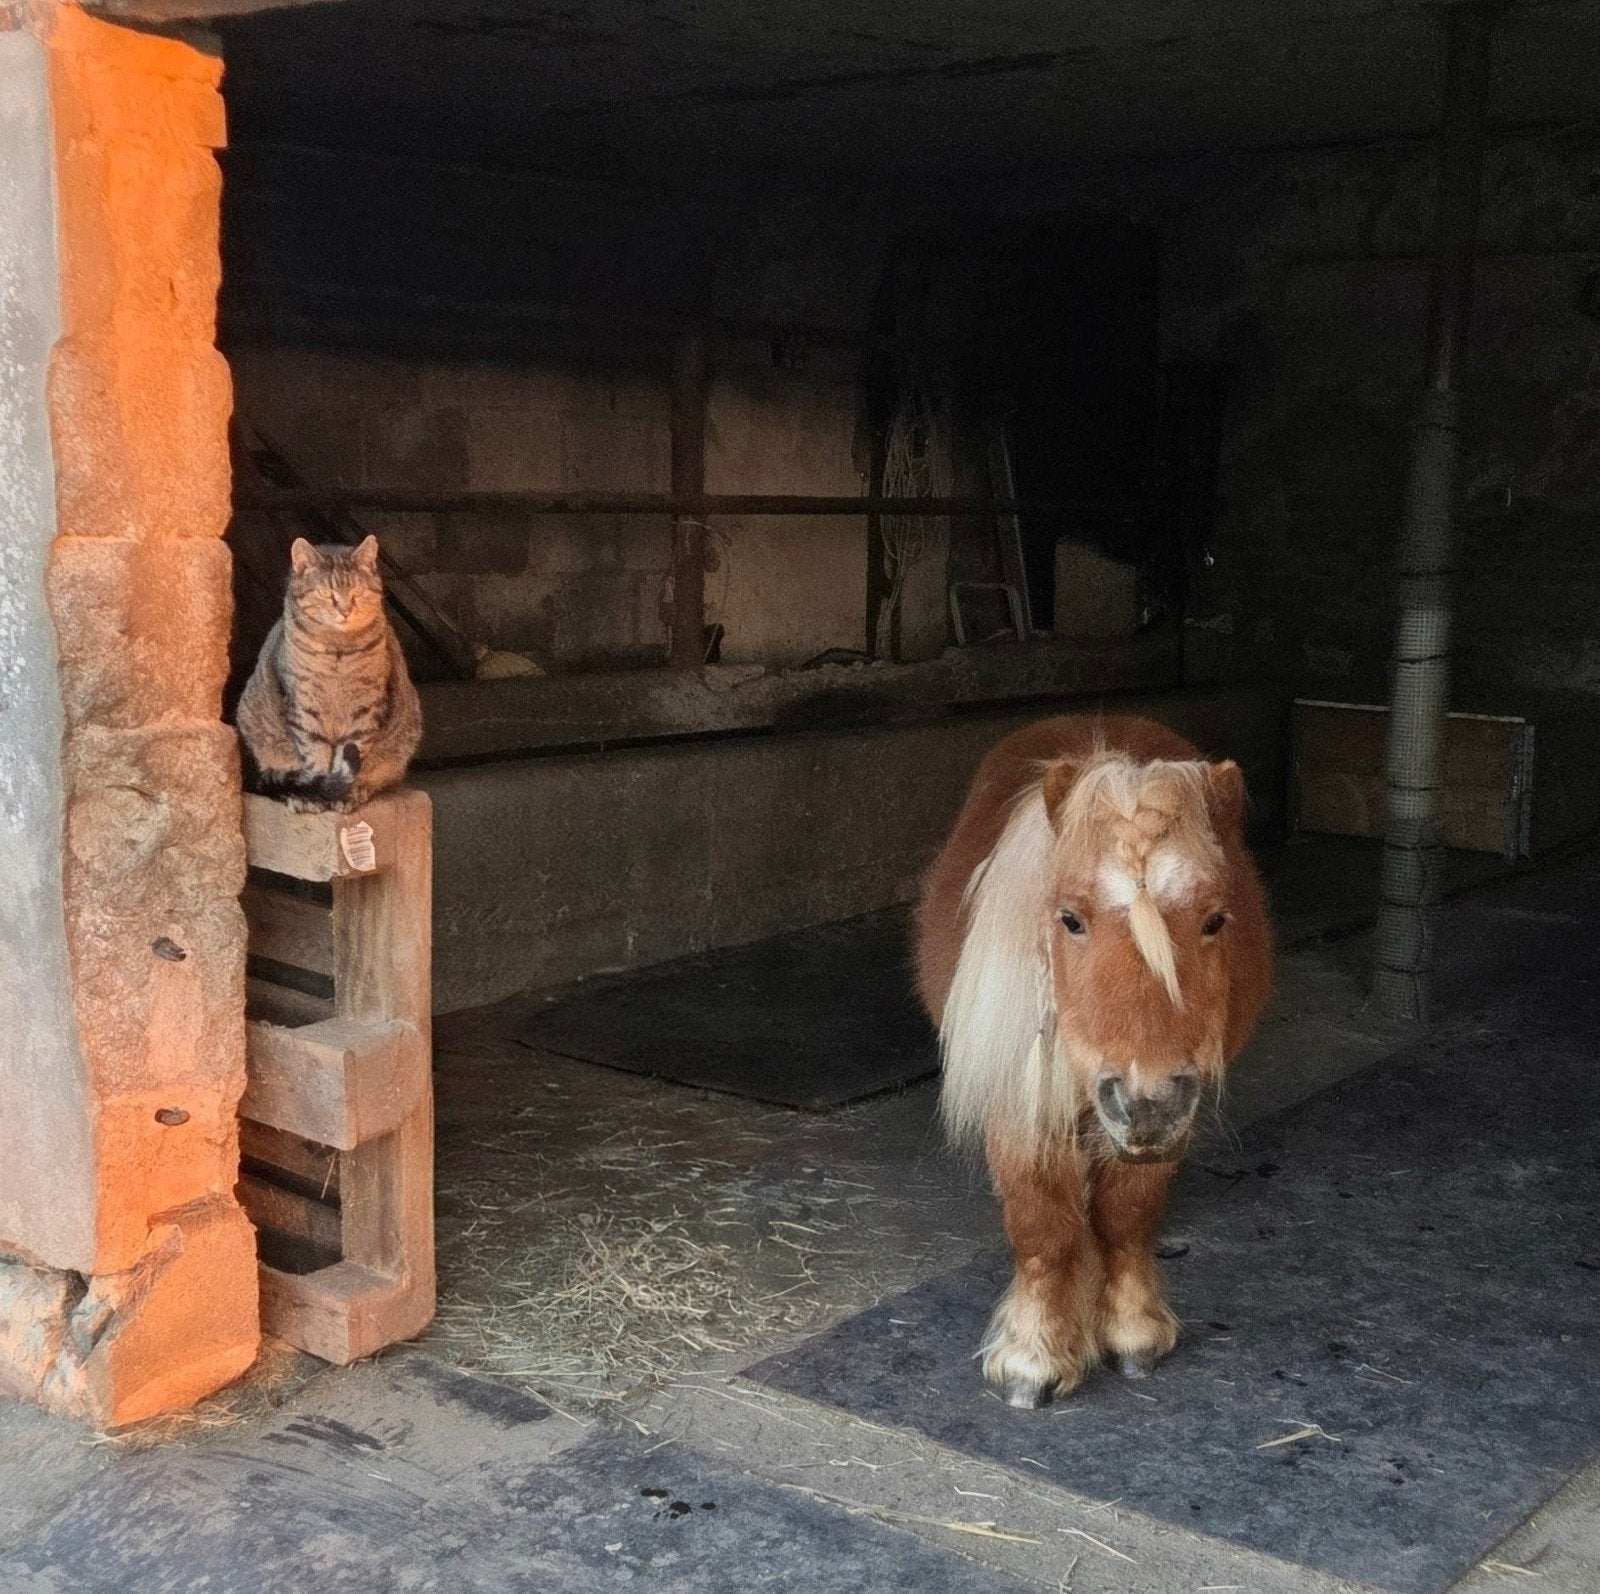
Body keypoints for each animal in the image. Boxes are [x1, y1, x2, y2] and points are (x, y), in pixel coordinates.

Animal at [916, 715, 1272, 1408]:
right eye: (1070, 920)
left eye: (1216, 919)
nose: (1145, 1101)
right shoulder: (1020, 1106)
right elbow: (1044, 1229)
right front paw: (1033, 1358)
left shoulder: (1163, 1124)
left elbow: (1124, 1217)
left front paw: (1132, 1333)